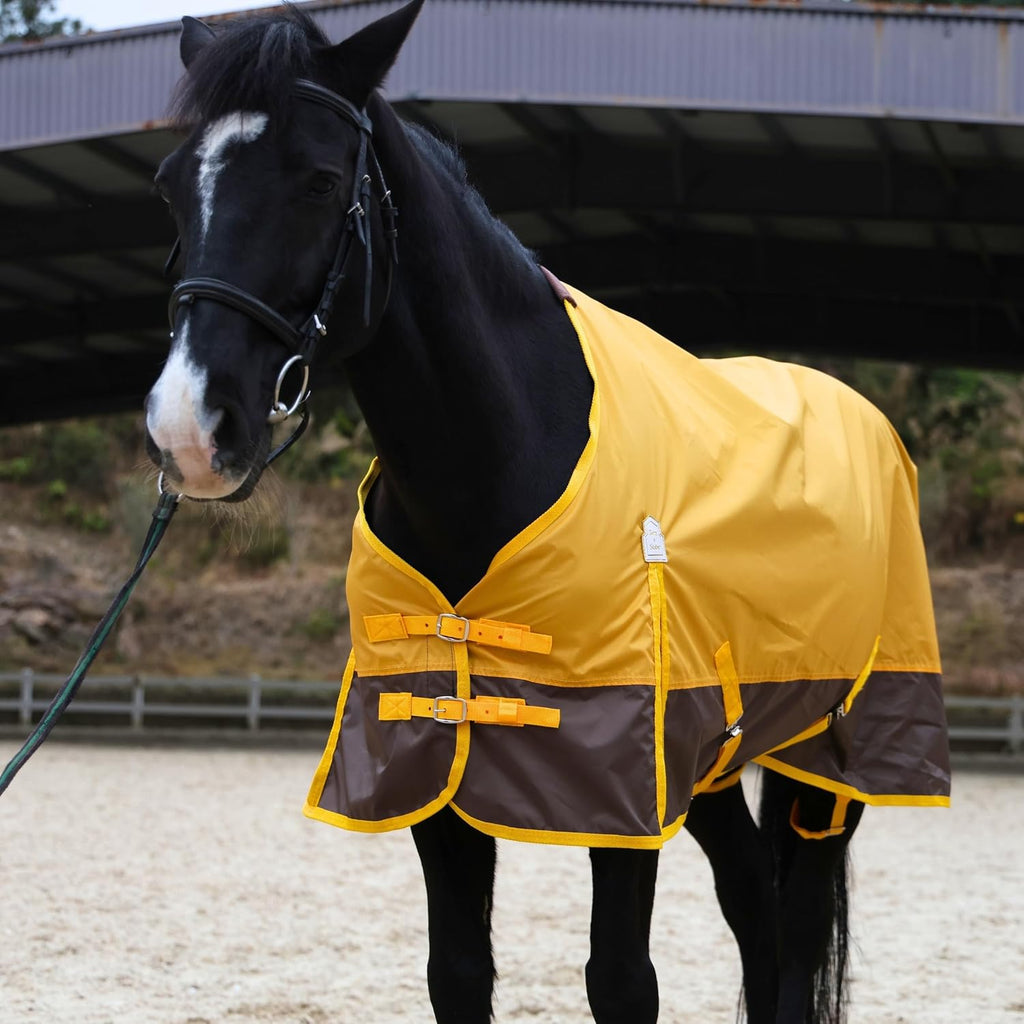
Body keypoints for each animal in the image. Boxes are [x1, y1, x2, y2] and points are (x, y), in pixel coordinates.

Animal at [143, 4, 950, 1022]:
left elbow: (621, 979)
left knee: (799, 922)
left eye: (321, 180)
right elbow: (457, 971)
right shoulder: (437, 762)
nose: (188, 430)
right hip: (713, 756)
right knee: (752, 904)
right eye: (171, 187)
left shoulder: (620, 784)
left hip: (834, 751)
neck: (509, 452)